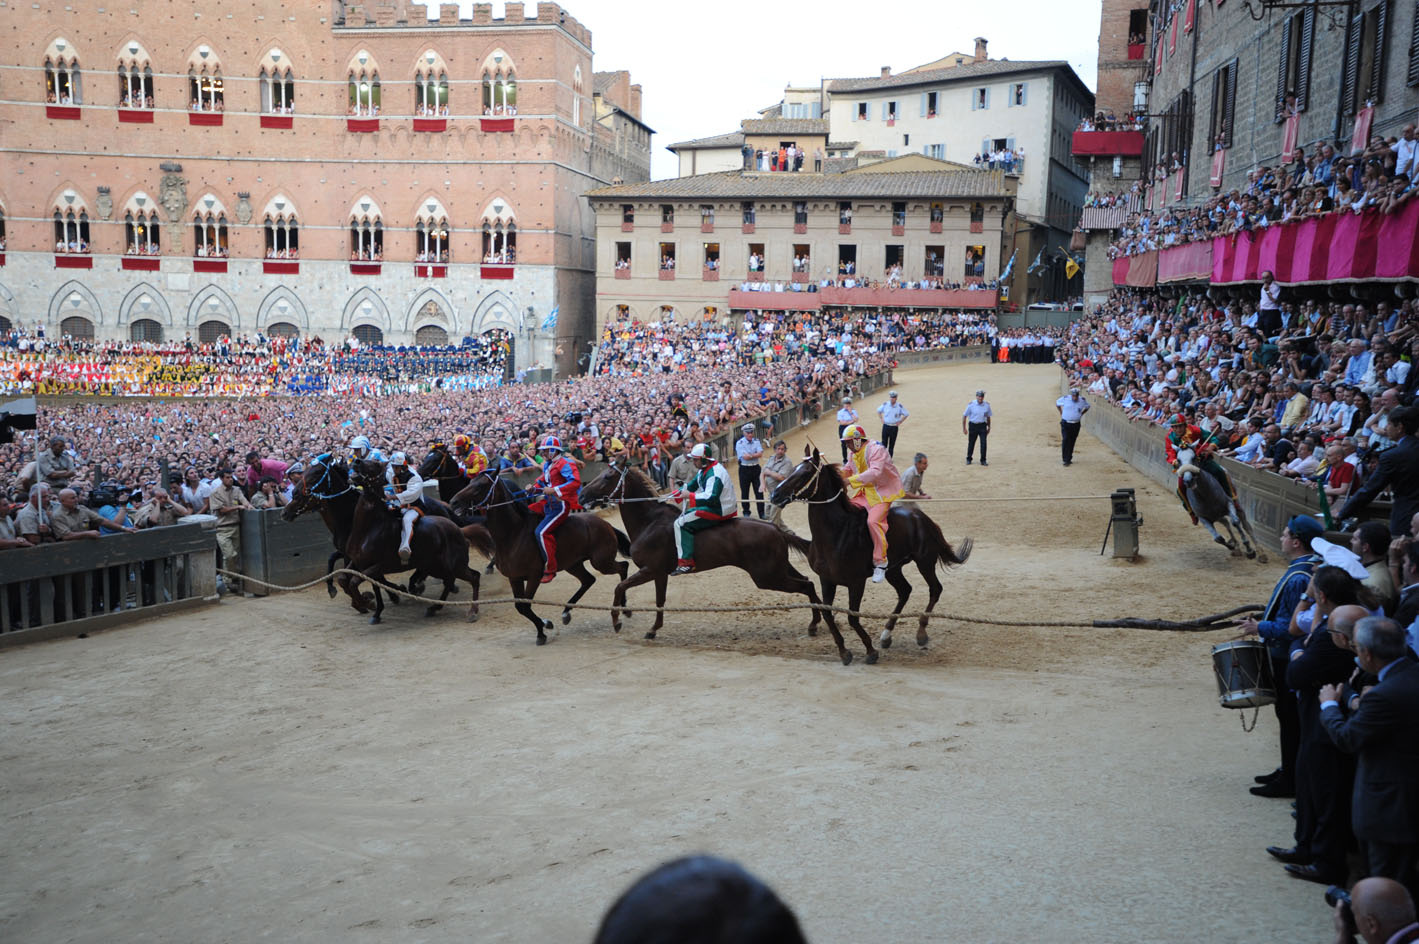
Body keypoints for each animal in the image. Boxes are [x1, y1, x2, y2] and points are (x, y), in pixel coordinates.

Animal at [341, 457, 493, 624]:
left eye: (375, 464)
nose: (356, 461)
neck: (370, 528)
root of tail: (459, 530)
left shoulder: (379, 565)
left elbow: (354, 582)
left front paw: (368, 603)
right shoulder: (359, 563)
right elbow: (348, 579)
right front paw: (374, 610)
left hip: (454, 565)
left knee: (474, 577)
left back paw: (472, 611)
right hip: (436, 566)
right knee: (449, 581)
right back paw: (434, 607)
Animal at [451, 468, 635, 644]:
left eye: (480, 486)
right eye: (470, 482)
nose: (453, 502)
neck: (514, 533)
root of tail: (605, 524)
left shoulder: (534, 576)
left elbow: (525, 607)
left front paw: (543, 629)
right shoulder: (515, 578)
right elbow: (520, 606)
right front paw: (544, 626)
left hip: (601, 562)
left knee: (622, 567)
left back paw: (623, 608)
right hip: (573, 564)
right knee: (589, 580)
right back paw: (566, 613)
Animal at [578, 457, 828, 652]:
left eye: (607, 476)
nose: (581, 496)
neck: (649, 521)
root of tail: (775, 529)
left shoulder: (650, 570)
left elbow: (620, 587)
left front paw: (617, 620)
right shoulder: (660, 574)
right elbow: (659, 600)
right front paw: (652, 629)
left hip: (767, 576)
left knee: (805, 585)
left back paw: (816, 622)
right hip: (778, 569)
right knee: (808, 582)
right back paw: (817, 621)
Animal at [766, 448, 976, 661]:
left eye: (805, 473)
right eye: (793, 468)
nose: (775, 494)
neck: (837, 533)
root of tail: (922, 518)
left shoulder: (856, 582)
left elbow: (852, 617)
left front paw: (870, 651)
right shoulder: (826, 580)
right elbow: (827, 614)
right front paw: (844, 651)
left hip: (924, 562)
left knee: (935, 589)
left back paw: (921, 633)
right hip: (893, 569)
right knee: (905, 591)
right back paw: (886, 635)